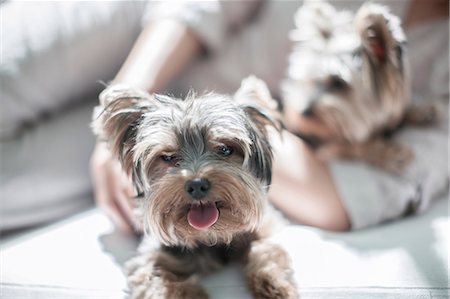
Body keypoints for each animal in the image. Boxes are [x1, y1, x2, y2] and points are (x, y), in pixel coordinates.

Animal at [91, 78, 298, 299]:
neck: (209, 236)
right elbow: (162, 283)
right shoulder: (146, 262)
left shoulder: (265, 224)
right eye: (168, 157)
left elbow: (266, 247)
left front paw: (276, 284)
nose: (197, 184)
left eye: (225, 149)